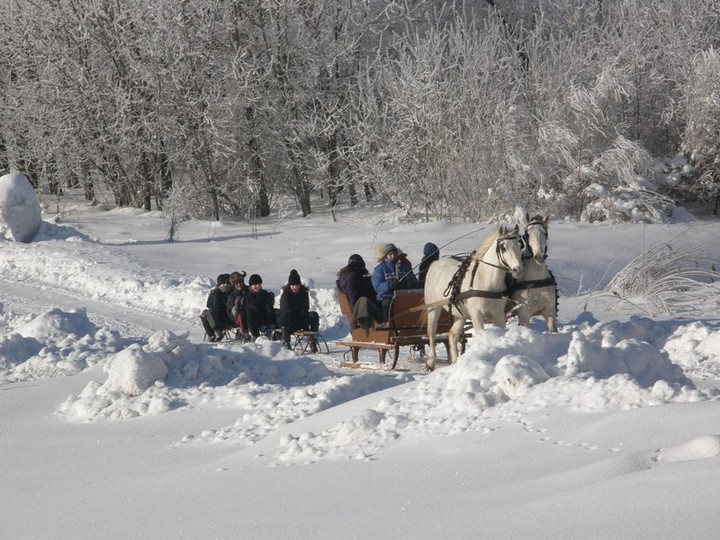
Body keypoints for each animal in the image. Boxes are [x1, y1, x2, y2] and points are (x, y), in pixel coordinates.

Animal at [424, 225, 524, 372]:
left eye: (519, 245)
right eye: (503, 247)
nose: (518, 270)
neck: (486, 280)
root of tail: (435, 263)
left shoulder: (499, 315)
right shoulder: (477, 314)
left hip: (460, 315)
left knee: (452, 335)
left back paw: (456, 363)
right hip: (433, 308)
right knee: (431, 332)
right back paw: (431, 361)